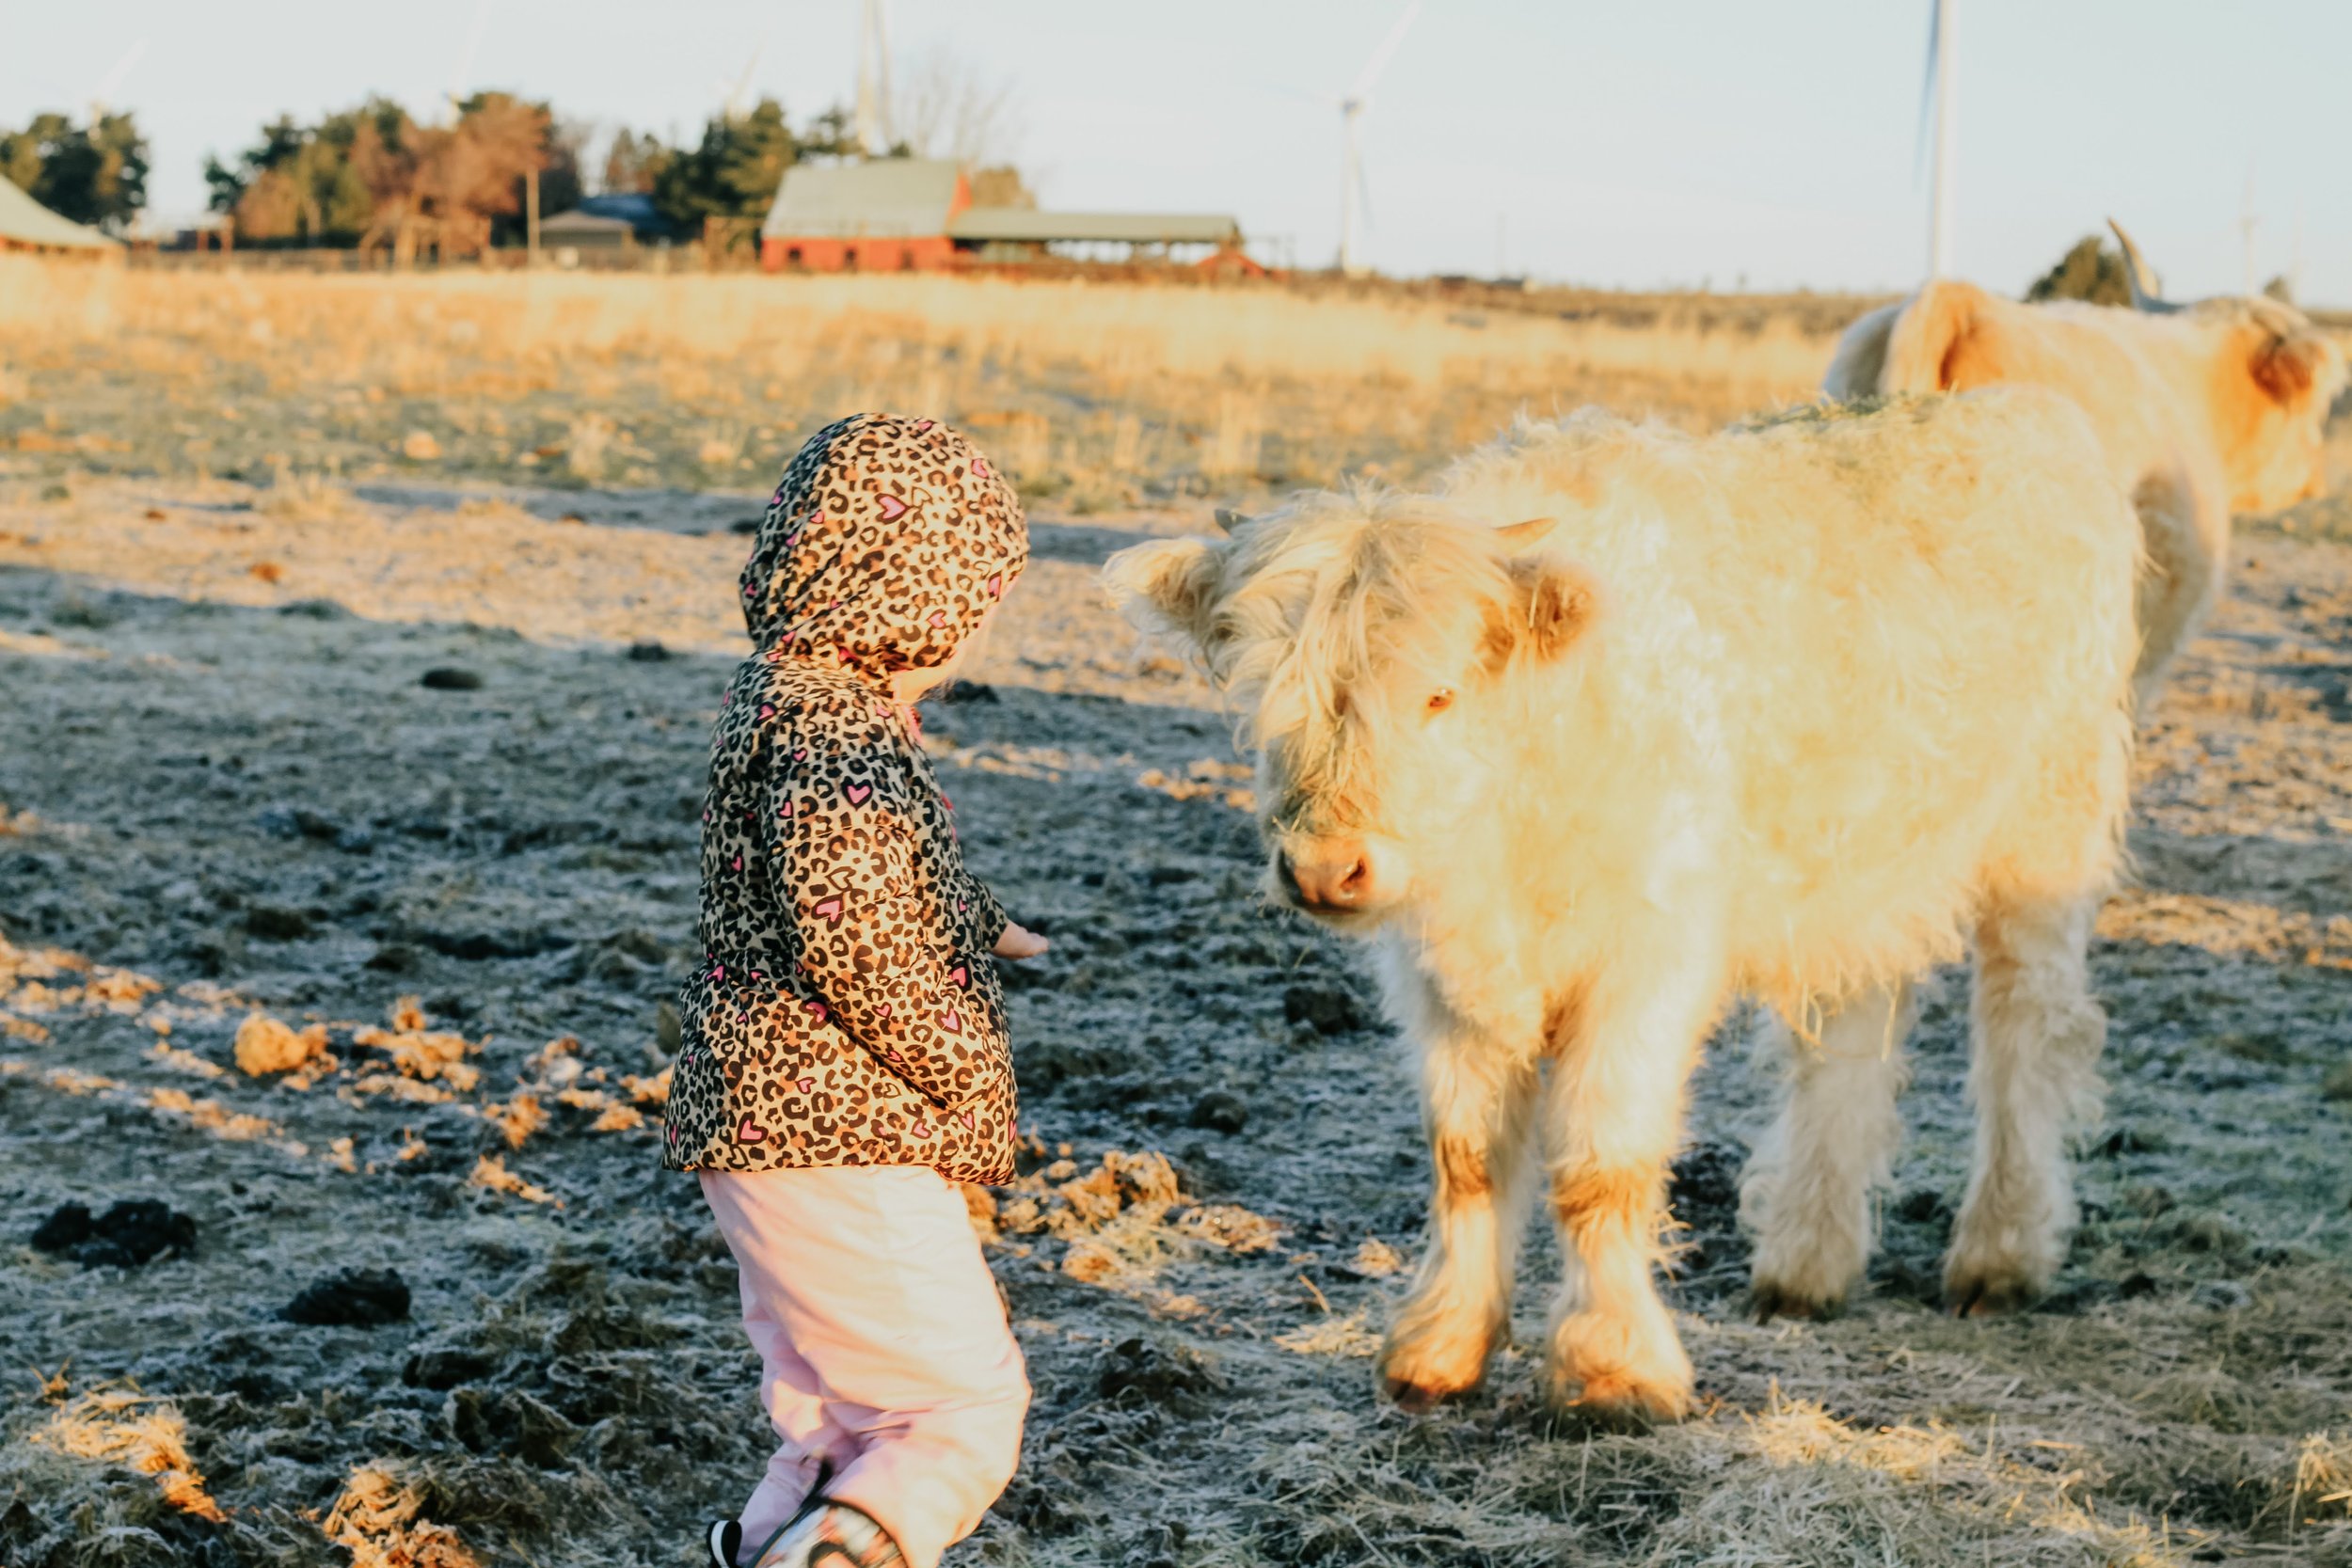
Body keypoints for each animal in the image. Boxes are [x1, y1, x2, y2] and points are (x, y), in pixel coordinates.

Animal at [1104, 388, 2141, 1421]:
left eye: (1438, 694)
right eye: (1268, 692)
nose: (1324, 868)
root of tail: (2016, 406)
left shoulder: (1647, 958)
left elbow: (1600, 1162)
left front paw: (1610, 1367)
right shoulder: (1444, 971)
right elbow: (1465, 1156)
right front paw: (1440, 1345)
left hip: (2042, 829)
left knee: (2023, 1026)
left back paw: (1999, 1251)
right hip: (1865, 864)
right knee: (1852, 1025)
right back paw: (1806, 1261)